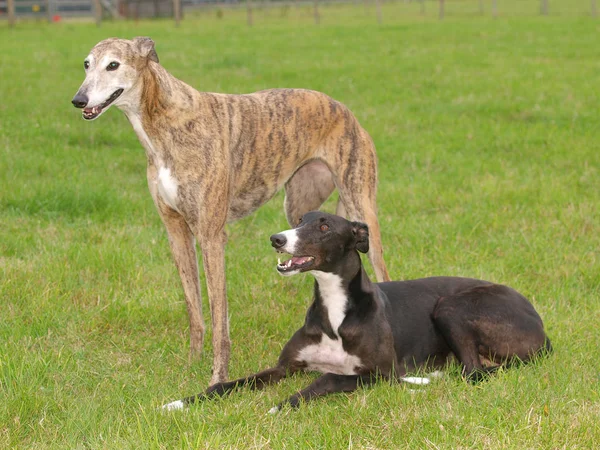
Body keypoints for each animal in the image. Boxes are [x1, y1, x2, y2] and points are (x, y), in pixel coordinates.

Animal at [70, 37, 392, 384]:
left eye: (113, 65)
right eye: (87, 64)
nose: (78, 100)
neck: (166, 120)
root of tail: (343, 109)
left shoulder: (211, 236)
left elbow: (218, 317)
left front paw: (217, 377)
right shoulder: (176, 231)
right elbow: (195, 309)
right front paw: (191, 363)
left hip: (360, 202)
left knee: (382, 268)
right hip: (299, 211)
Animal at [162, 213, 552, 414]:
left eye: (323, 227)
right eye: (298, 219)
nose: (276, 239)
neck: (335, 311)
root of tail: (543, 330)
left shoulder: (380, 373)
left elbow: (328, 378)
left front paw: (283, 404)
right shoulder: (285, 367)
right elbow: (226, 384)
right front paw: (182, 401)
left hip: (451, 306)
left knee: (474, 373)